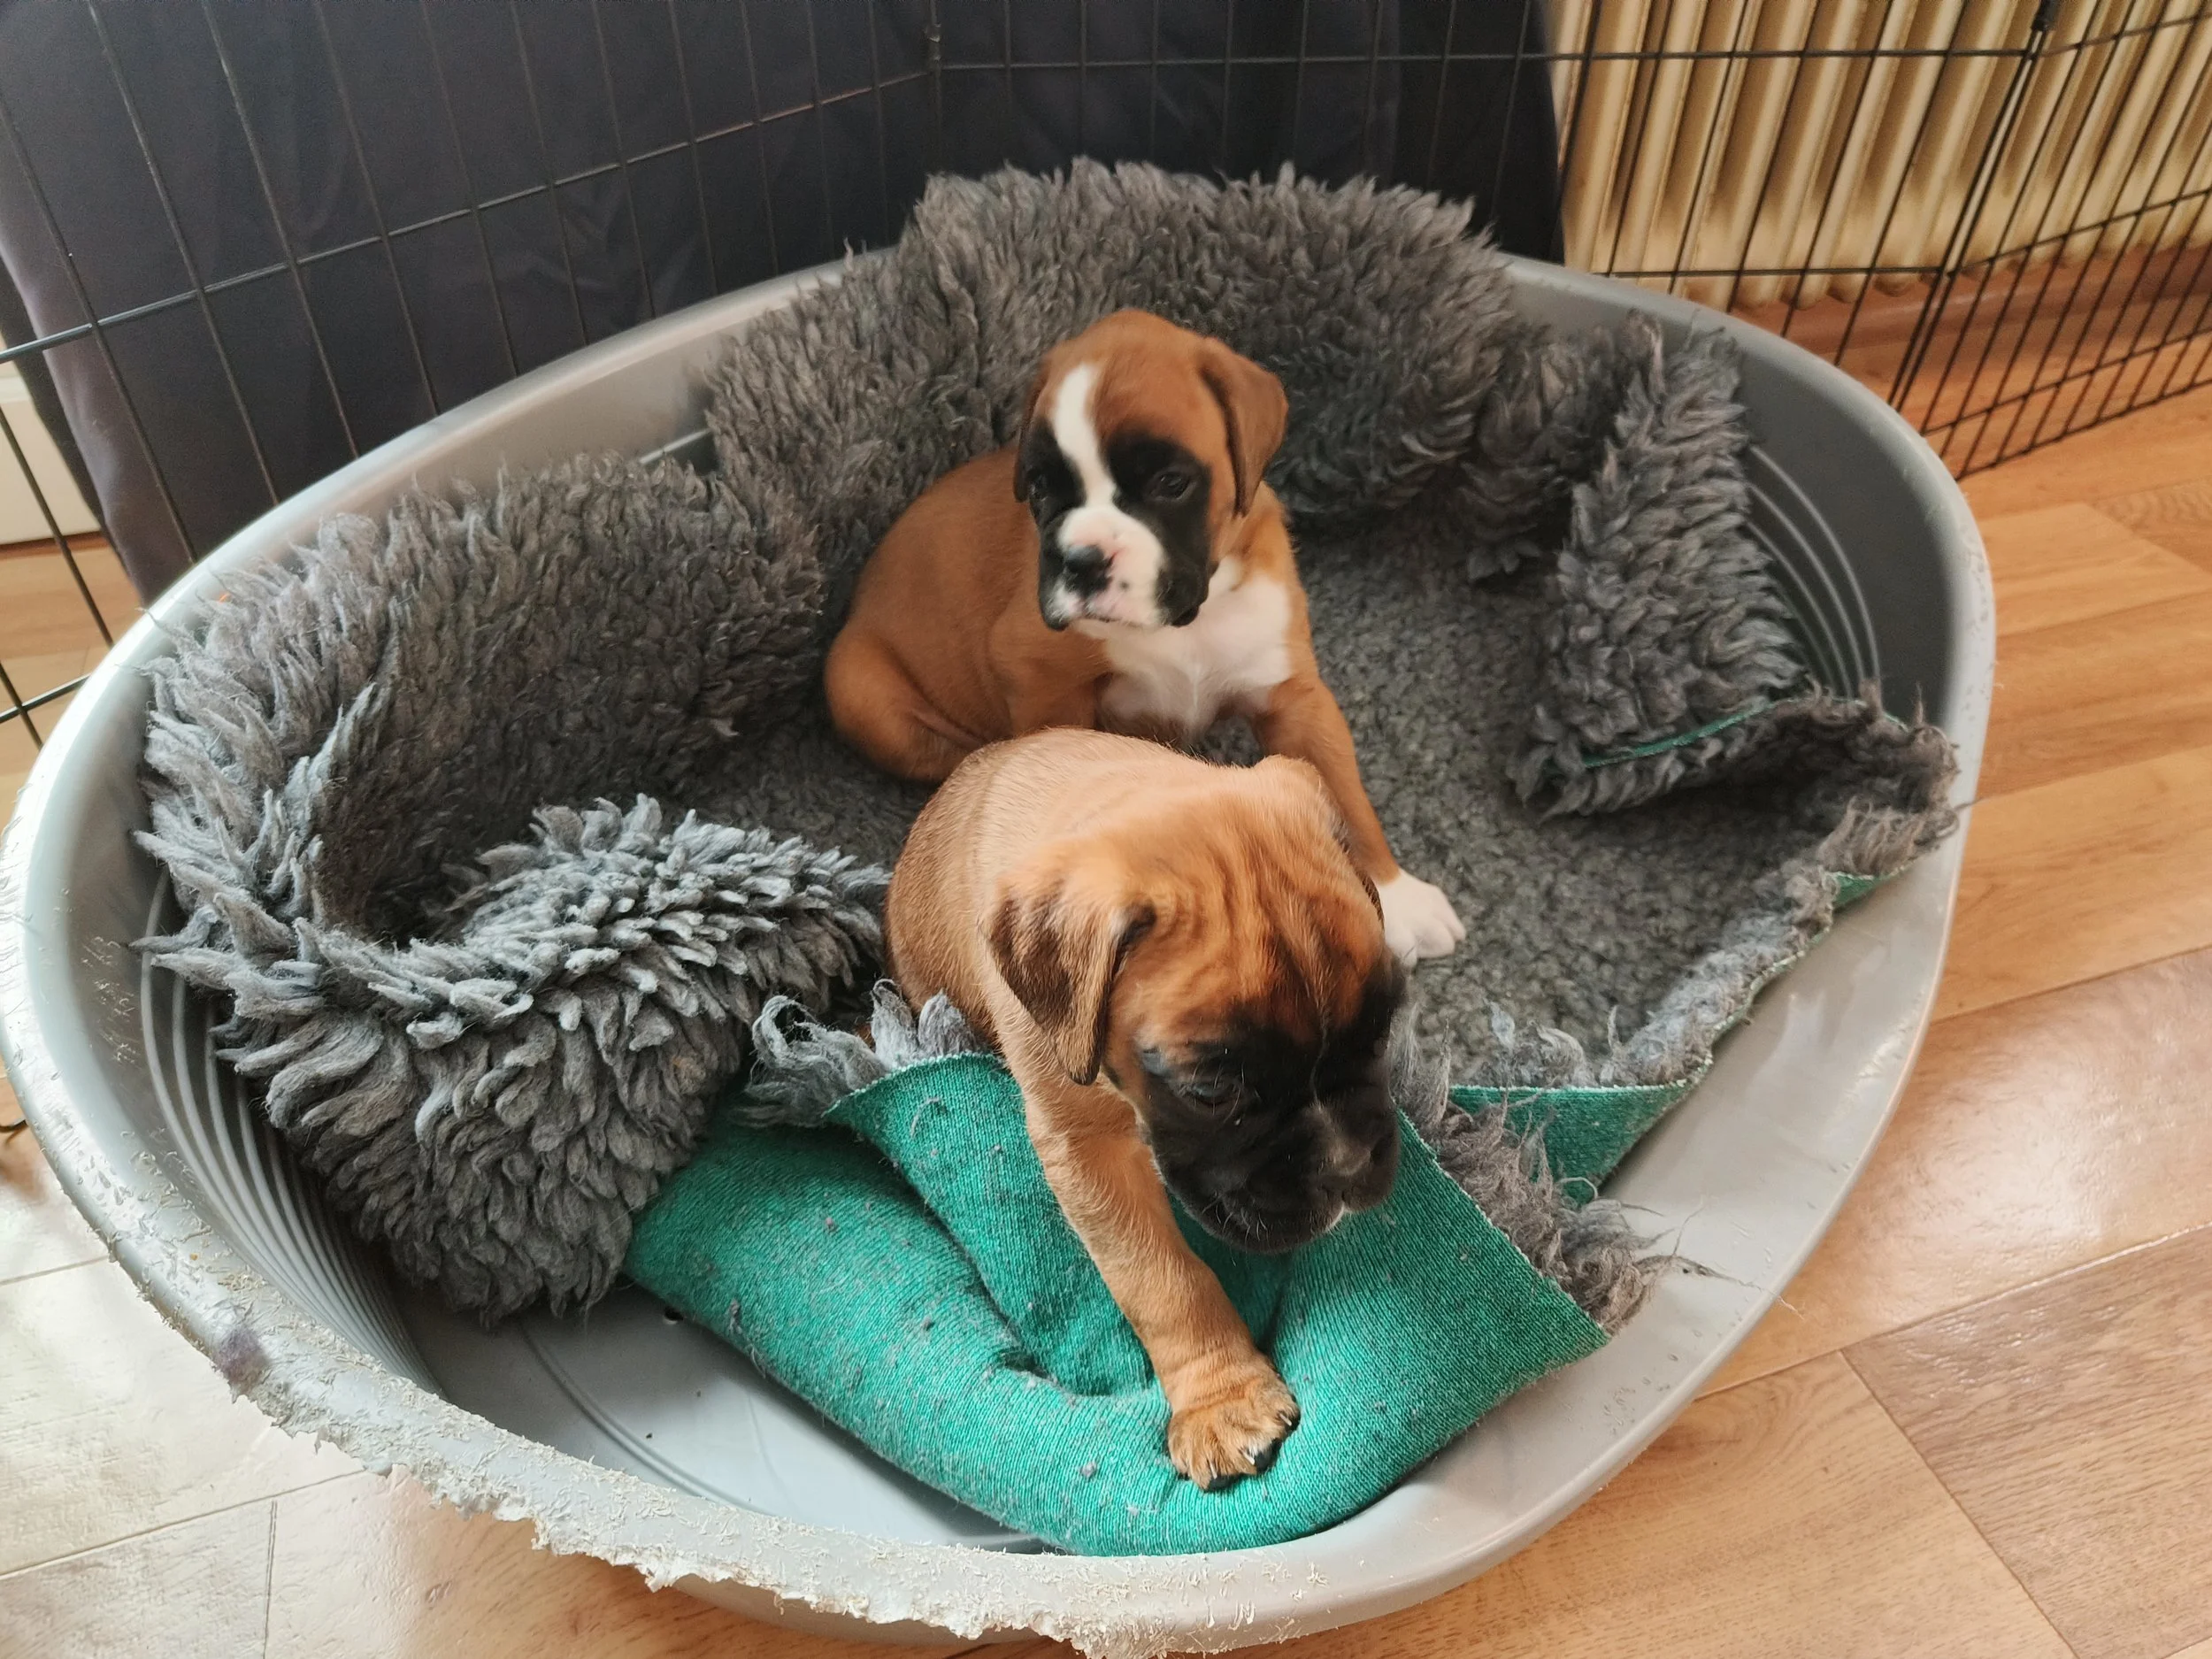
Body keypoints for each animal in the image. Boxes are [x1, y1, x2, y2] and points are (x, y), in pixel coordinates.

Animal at [827, 309, 1465, 964]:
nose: (1081, 561)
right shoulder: (1038, 677)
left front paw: (1399, 896)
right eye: (1040, 486)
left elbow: (1344, 791)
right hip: (858, 691)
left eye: (1170, 482)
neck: (1190, 617)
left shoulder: (1294, 698)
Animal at [886, 727, 1406, 1487]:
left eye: (1381, 1030)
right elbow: (1162, 1278)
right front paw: (1223, 1401)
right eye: (1212, 1093)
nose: (1345, 1169)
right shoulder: (1085, 1147)